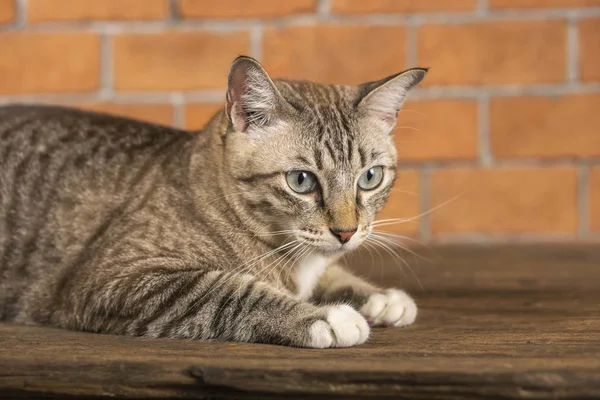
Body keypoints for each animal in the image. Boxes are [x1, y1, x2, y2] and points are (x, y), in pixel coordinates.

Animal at [0, 55, 426, 346]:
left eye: (370, 177)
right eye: (301, 181)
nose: (346, 232)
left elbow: (333, 274)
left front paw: (379, 297)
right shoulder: (118, 278)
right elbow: (229, 290)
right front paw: (327, 318)